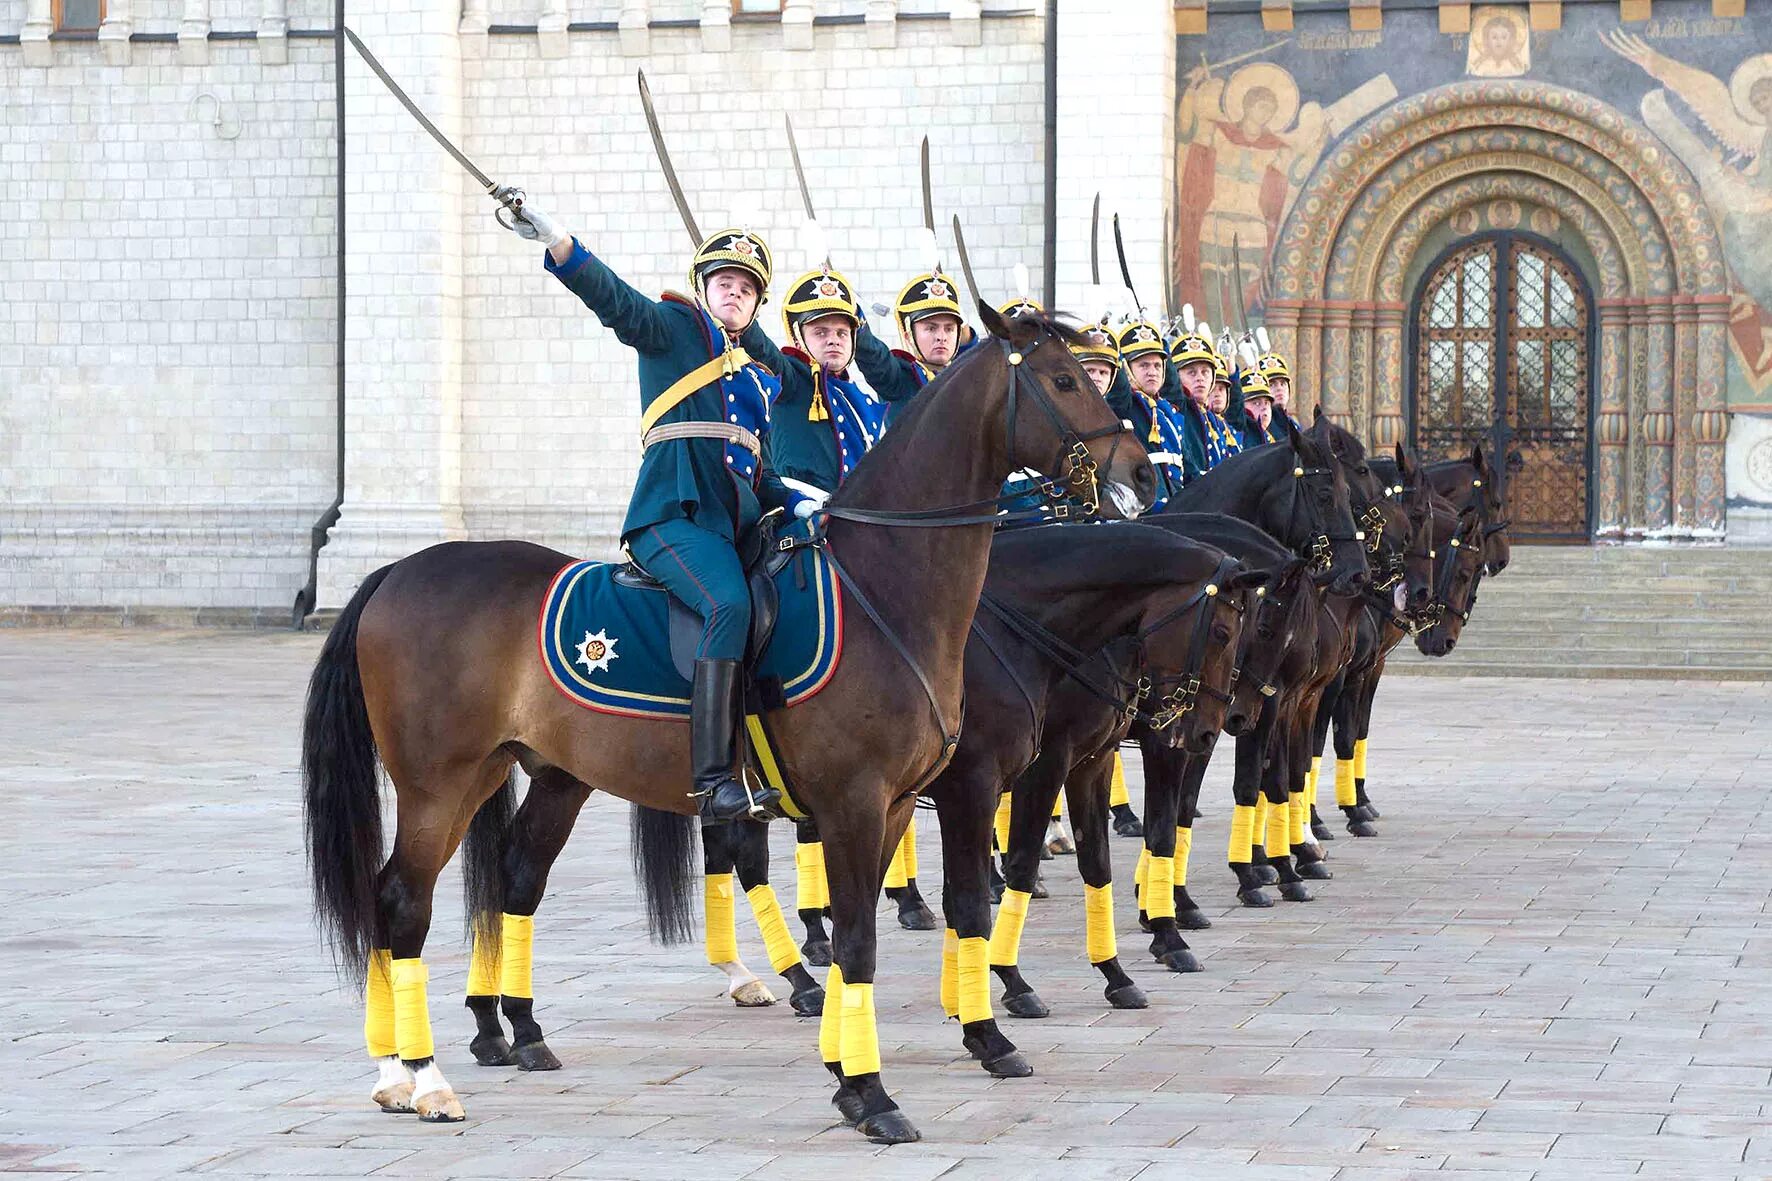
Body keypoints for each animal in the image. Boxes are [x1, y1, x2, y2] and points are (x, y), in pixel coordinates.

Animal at [301, 305, 1162, 1141]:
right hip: (438, 783)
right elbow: (865, 935)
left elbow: (880, 931)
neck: (889, 588)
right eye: (1064, 379)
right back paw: (422, 1077)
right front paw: (879, 1089)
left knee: (502, 880)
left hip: (536, 775)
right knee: (401, 900)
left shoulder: (892, 806)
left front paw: (849, 1076)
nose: (1141, 472)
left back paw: (461, 1050)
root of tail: (397, 569)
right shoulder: (872, 801)